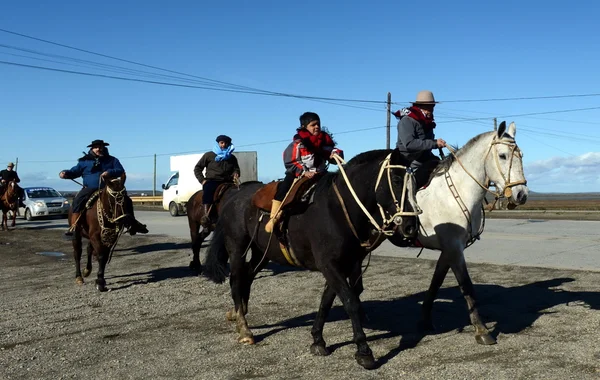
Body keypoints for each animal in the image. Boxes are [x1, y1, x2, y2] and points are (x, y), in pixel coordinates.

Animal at [204, 148, 420, 368]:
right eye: (396, 179)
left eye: (415, 182)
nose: (411, 227)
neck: (338, 209)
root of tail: (233, 196)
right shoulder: (330, 265)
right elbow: (349, 300)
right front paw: (363, 350)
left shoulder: (345, 264)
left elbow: (327, 301)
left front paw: (317, 340)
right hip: (237, 248)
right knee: (236, 280)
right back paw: (244, 328)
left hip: (260, 252)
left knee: (247, 277)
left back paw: (238, 313)